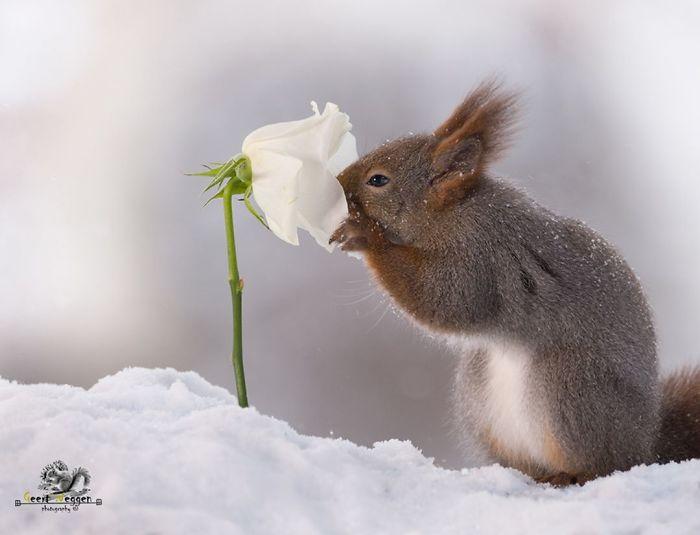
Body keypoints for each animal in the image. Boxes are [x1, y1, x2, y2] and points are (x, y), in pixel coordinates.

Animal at [330, 78, 700, 486]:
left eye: (378, 180)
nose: (337, 183)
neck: (451, 213)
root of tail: (646, 445)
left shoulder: (482, 254)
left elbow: (445, 300)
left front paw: (365, 234)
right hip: (478, 397)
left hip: (570, 385)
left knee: (604, 464)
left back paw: (570, 475)